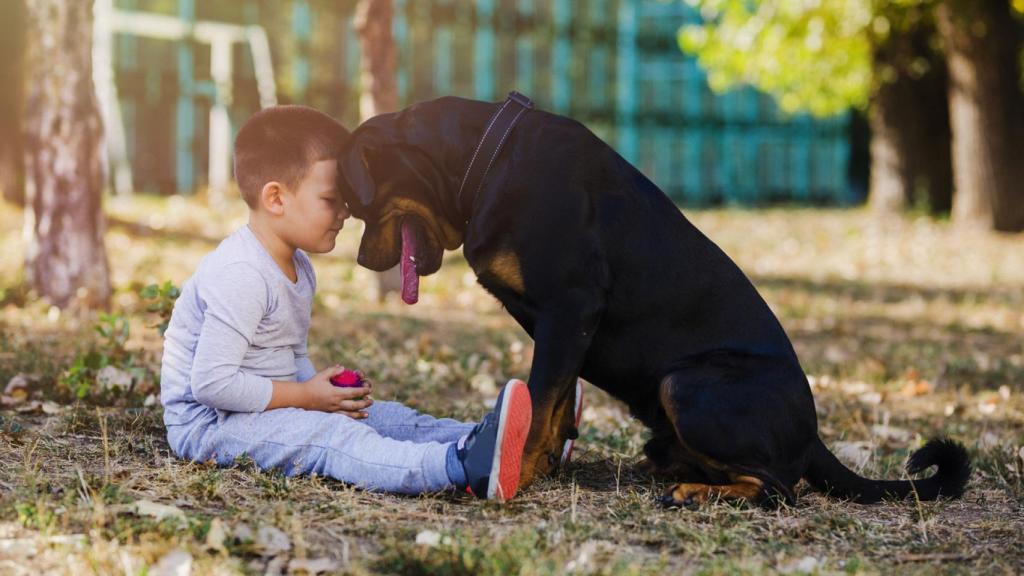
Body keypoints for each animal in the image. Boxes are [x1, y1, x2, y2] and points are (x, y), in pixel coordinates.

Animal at [335, 95, 966, 506]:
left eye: (356, 205)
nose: (361, 260)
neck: (483, 163)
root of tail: (813, 435)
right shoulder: (563, 327)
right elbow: (556, 403)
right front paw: (544, 463)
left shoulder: (570, 308)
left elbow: (540, 399)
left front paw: (516, 470)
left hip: (686, 384)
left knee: (781, 489)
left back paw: (694, 491)